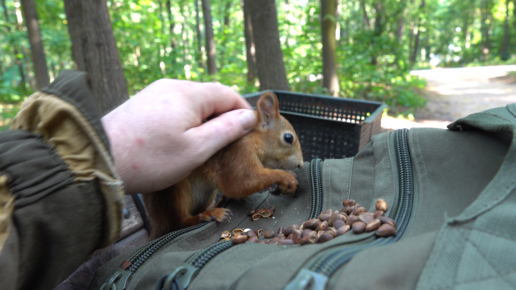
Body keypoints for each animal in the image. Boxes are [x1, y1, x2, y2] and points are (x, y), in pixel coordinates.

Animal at [142, 92, 302, 239]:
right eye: (288, 138)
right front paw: (286, 178)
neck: (254, 137)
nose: (300, 164)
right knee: (179, 223)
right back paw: (209, 214)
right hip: (175, 192)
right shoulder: (239, 152)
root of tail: (157, 223)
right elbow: (240, 183)